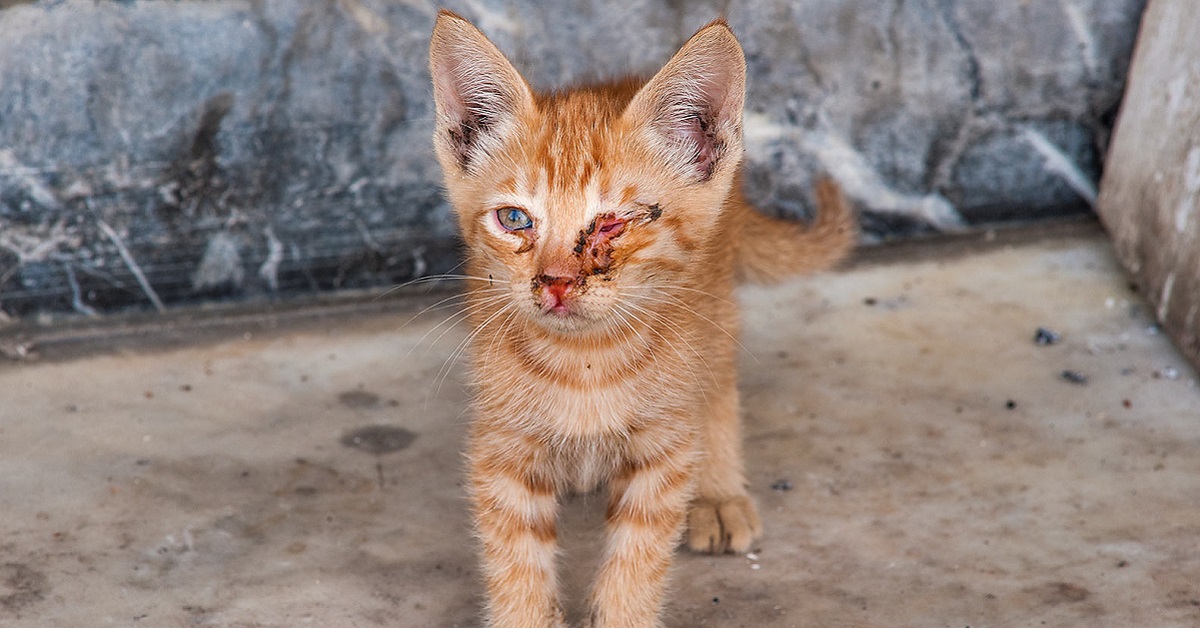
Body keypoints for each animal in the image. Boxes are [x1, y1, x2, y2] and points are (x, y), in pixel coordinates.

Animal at [427, 11, 859, 628]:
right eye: (514, 220)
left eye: (613, 223)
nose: (555, 282)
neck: (584, 362)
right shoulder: (501, 448)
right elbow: (516, 564)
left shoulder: (665, 449)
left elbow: (637, 561)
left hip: (712, 315)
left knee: (718, 386)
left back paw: (719, 492)